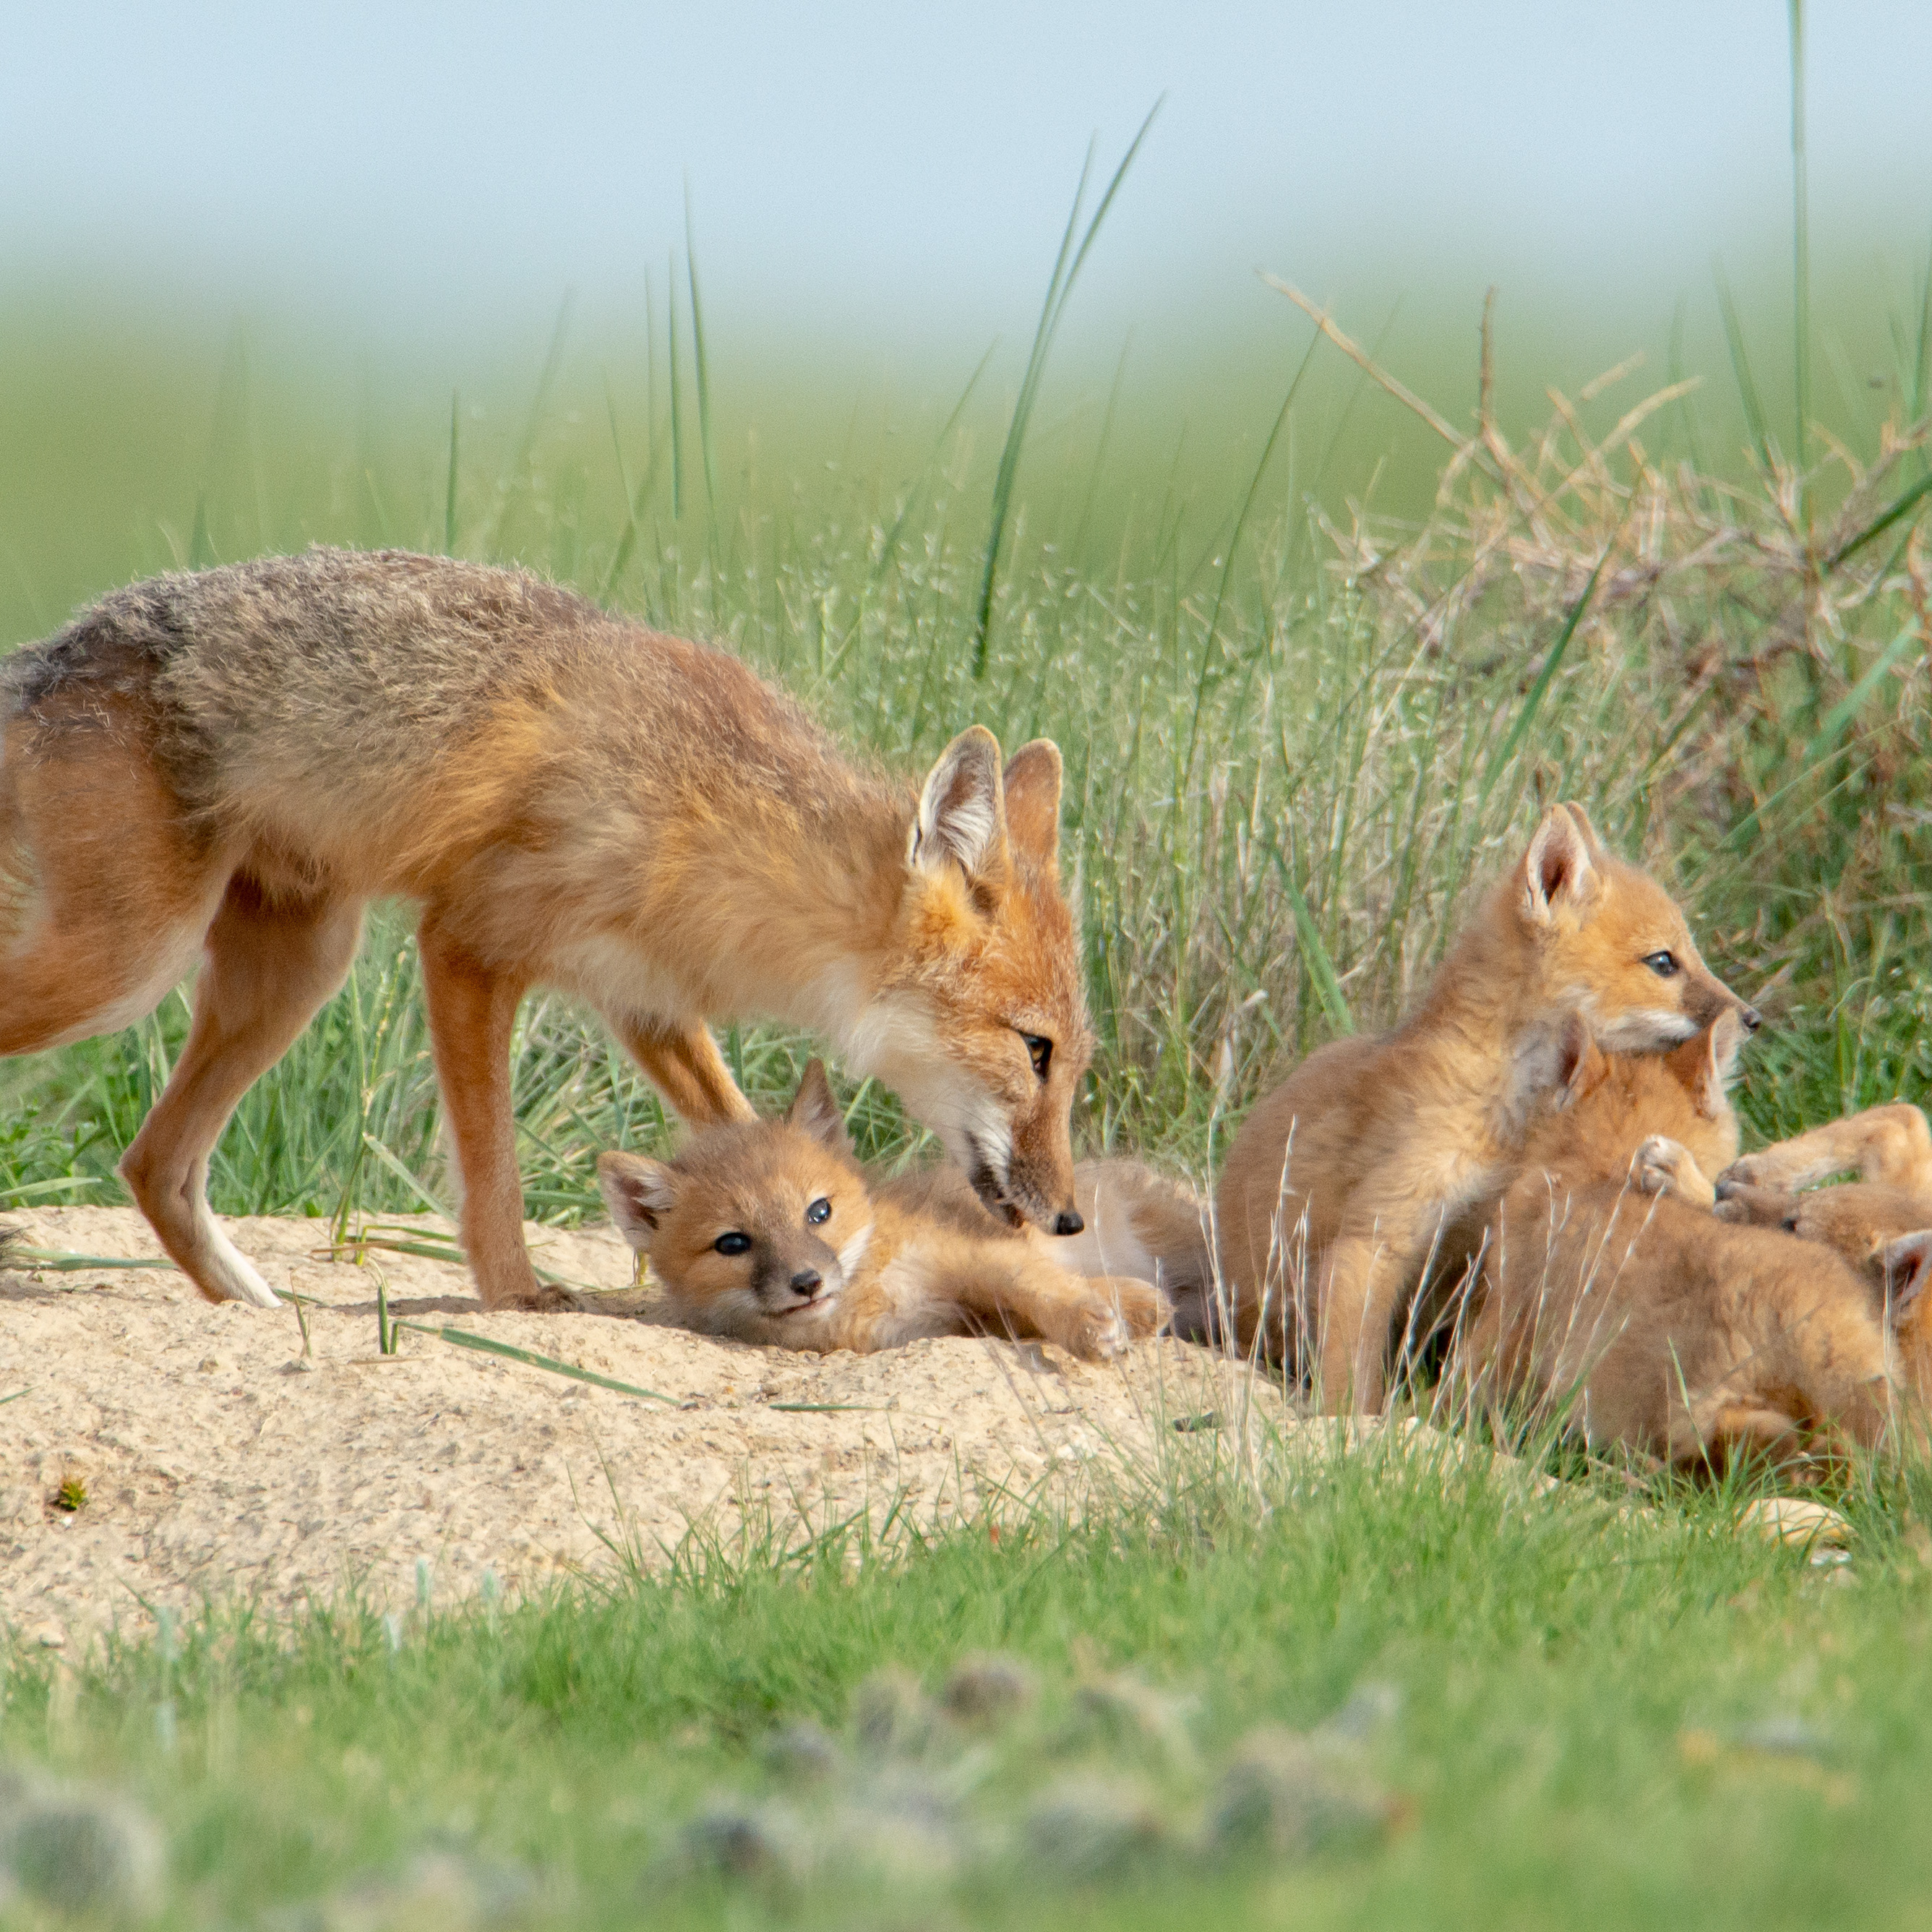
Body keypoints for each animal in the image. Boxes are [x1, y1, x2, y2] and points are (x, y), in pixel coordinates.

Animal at [0, 552, 1089, 1321]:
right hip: (128, 968)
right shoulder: (468, 947)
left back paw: (255, 1308)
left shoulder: (648, 999)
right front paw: (517, 1294)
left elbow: (749, 1137)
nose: (1070, 1218)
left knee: (154, 1165)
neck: (712, 807)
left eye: (1073, 1062)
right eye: (1033, 1050)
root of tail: (49, 650)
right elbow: (494, 1174)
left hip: (296, 975)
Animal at [591, 1058, 1159, 1360]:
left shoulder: (978, 1255)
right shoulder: (945, 1323)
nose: (807, 1282)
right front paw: (1122, 1310)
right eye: (732, 1243)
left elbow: (1041, 1287)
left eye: (819, 1212)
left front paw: (1098, 1321)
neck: (878, 1291)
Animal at [1213, 803, 1761, 1422]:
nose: (1752, 1018)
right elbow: (1350, 1385)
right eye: (1663, 961)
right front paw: (1349, 1426)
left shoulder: (1490, 1241)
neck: (1512, 1121)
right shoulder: (1377, 1233)